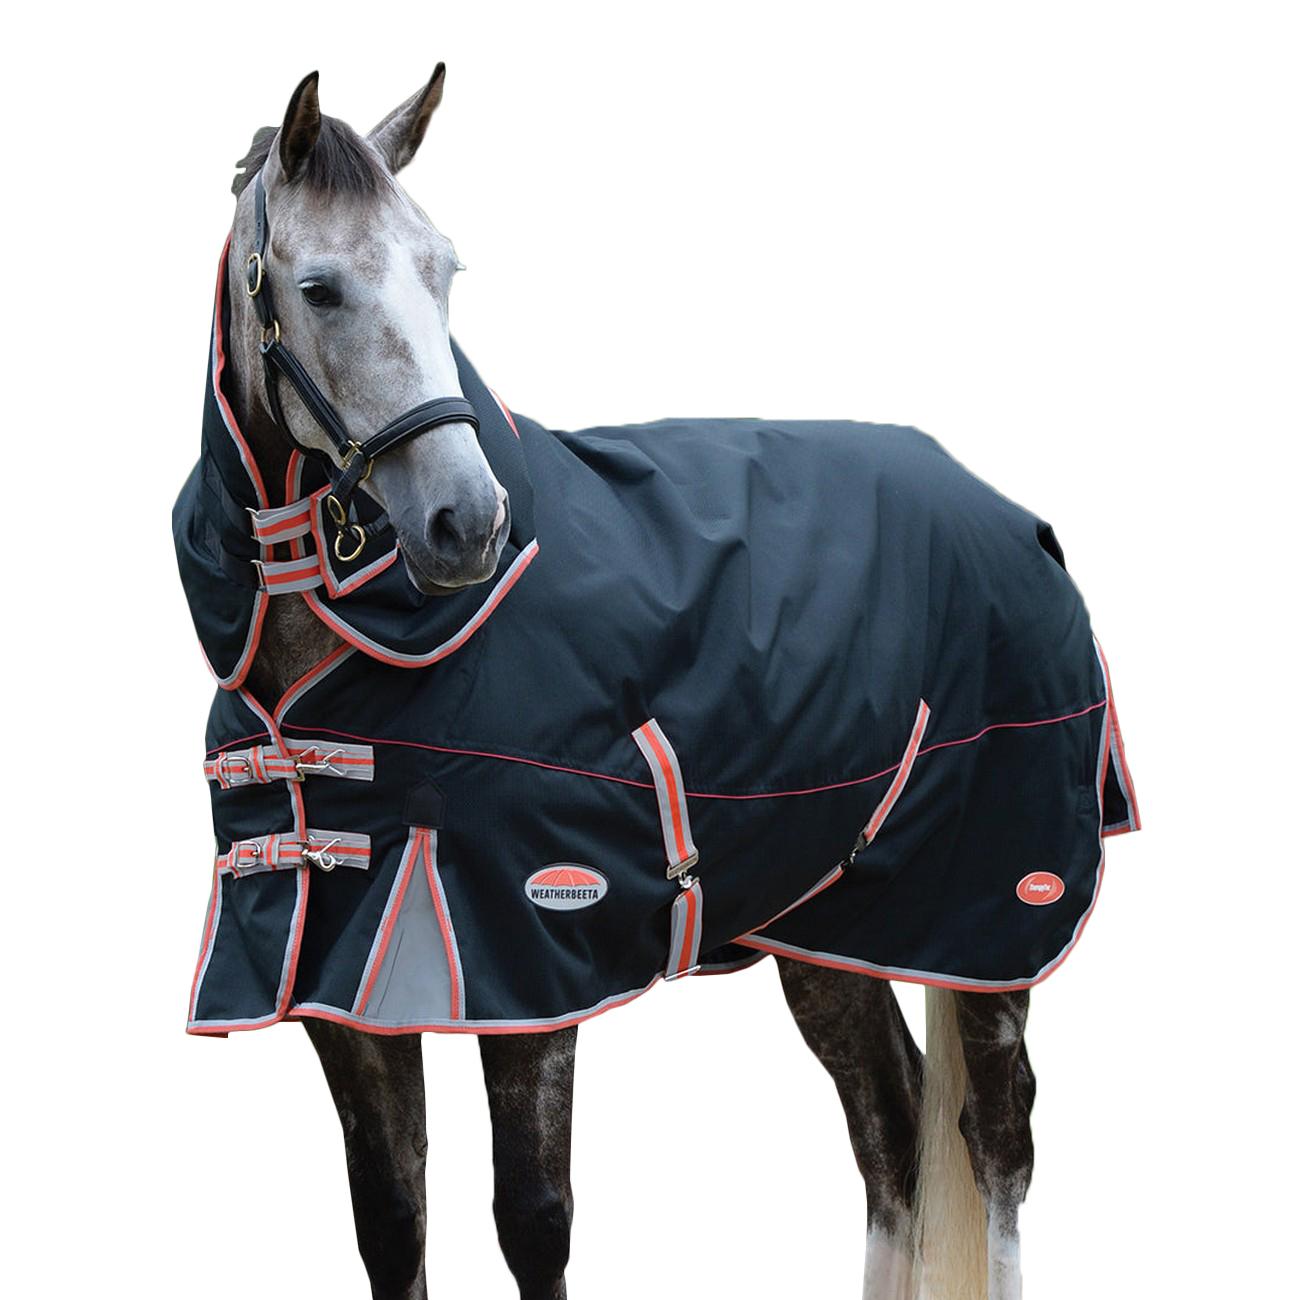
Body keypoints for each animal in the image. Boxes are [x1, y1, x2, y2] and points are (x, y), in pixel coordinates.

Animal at [184, 65, 1135, 1300]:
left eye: (443, 268)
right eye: (320, 287)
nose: (465, 522)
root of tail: (1016, 519)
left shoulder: (530, 958)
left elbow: (533, 1221)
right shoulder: (339, 984)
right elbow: (392, 1222)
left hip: (988, 916)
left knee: (996, 1144)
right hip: (834, 927)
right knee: (889, 1128)